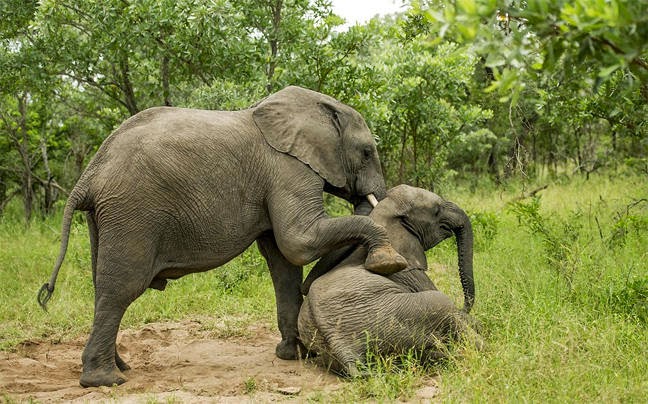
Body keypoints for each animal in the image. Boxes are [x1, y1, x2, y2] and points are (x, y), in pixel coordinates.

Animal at [36, 86, 404, 388]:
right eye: (367, 152)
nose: (371, 197)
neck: (317, 107)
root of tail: (90, 175)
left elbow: (283, 263)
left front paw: (294, 356)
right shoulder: (287, 170)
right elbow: (298, 242)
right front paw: (388, 262)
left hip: (105, 217)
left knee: (103, 287)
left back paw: (120, 367)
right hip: (132, 210)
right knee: (121, 289)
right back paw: (106, 381)